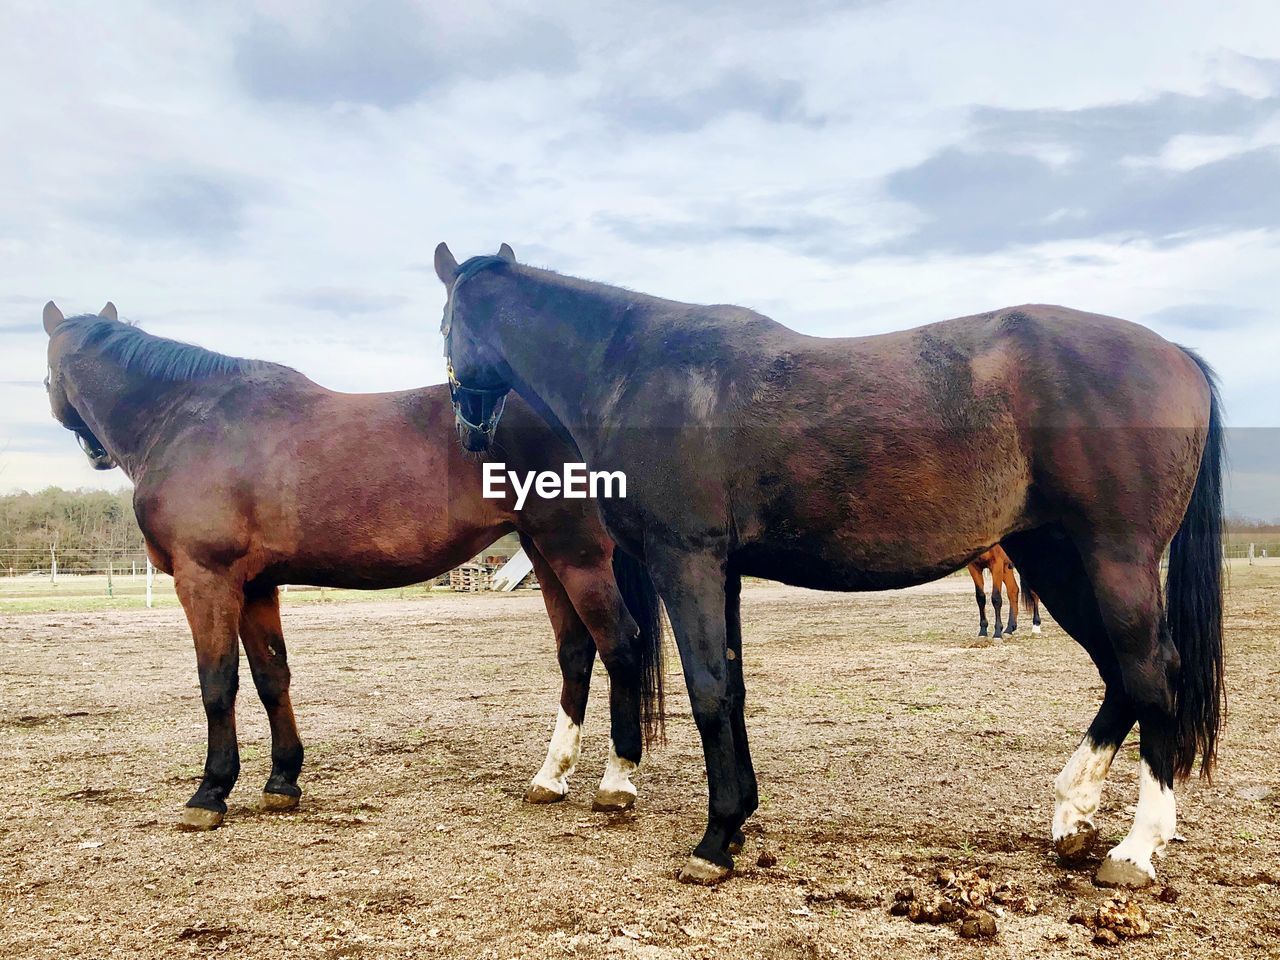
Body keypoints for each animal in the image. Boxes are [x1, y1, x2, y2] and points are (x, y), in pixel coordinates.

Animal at [42, 302, 660, 834]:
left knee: (620, 645)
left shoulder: (207, 579)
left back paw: (616, 782)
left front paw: (210, 793)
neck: (187, 420)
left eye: (47, 377)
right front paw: (282, 781)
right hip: (544, 552)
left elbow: (217, 682)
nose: (93, 452)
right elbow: (272, 677)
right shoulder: (257, 586)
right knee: (576, 653)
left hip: (577, 553)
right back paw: (550, 778)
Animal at [435, 244, 1223, 890]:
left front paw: (714, 843)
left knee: (1150, 672)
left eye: (444, 324)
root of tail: (1174, 354)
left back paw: (1135, 849)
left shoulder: (686, 561)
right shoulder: (723, 572)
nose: (469, 432)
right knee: (1121, 673)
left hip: (1112, 560)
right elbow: (733, 687)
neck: (639, 367)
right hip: (1057, 560)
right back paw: (1073, 815)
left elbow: (708, 691)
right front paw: (738, 819)